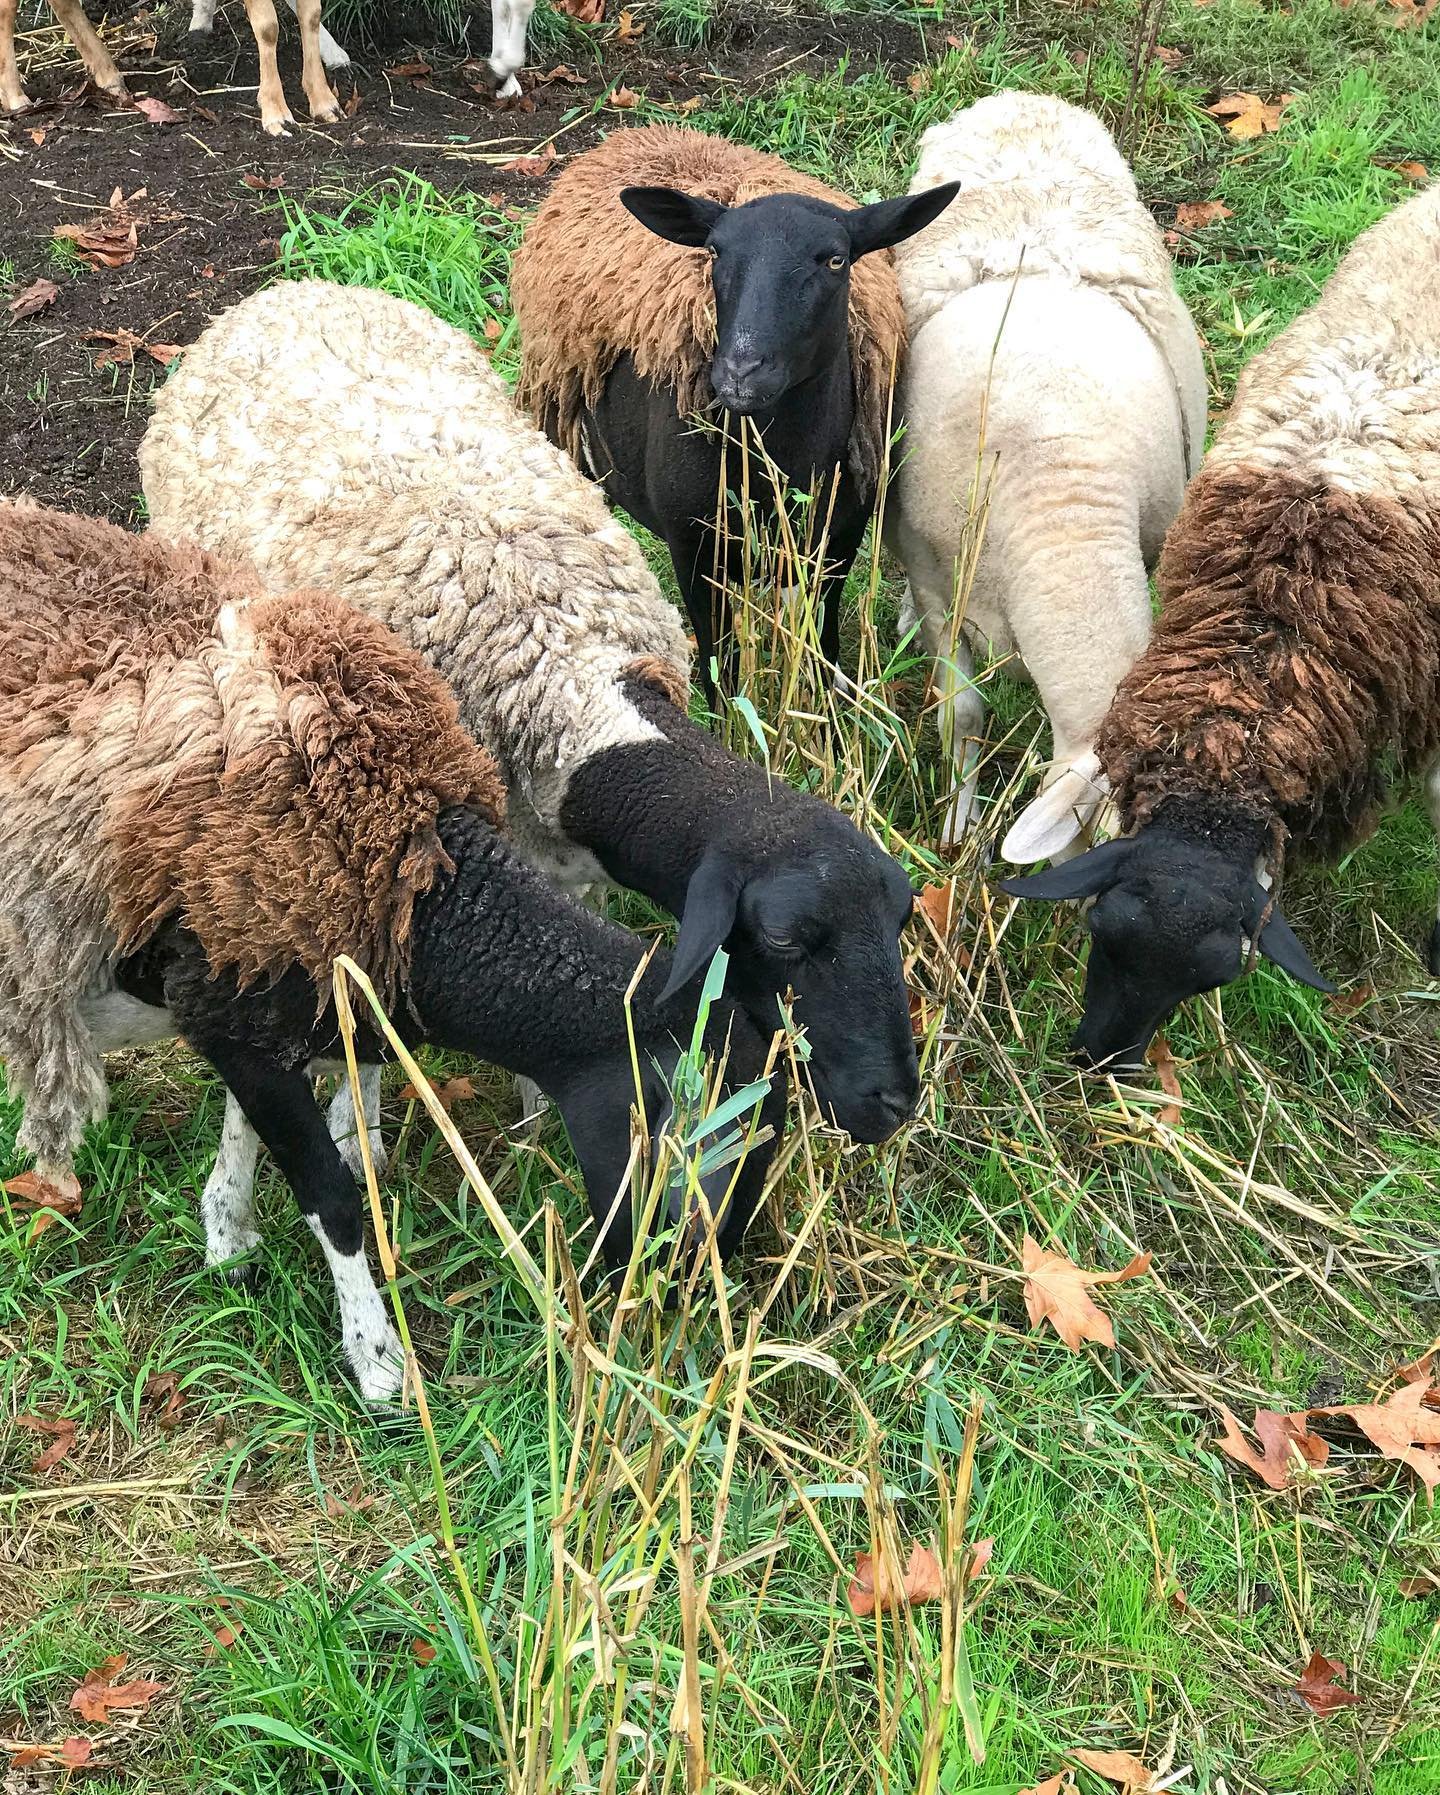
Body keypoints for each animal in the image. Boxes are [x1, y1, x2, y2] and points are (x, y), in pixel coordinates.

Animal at [0, 499, 785, 1400]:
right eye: (696, 1137)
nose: (687, 1294)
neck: (423, 886)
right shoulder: (242, 996)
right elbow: (333, 1197)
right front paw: (377, 1360)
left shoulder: (255, 1005)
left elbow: (247, 1128)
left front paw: (227, 1234)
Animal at [139, 278, 921, 1148]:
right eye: (786, 938)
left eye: (900, 918)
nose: (895, 1101)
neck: (567, 676)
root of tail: (284, 292)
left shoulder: (563, 864)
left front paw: (532, 1118)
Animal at [511, 125, 958, 696]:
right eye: (715, 251)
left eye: (836, 259)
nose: (740, 372)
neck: (778, 459)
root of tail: (636, 133)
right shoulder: (695, 553)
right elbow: (721, 676)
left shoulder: (836, 543)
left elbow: (822, 653)